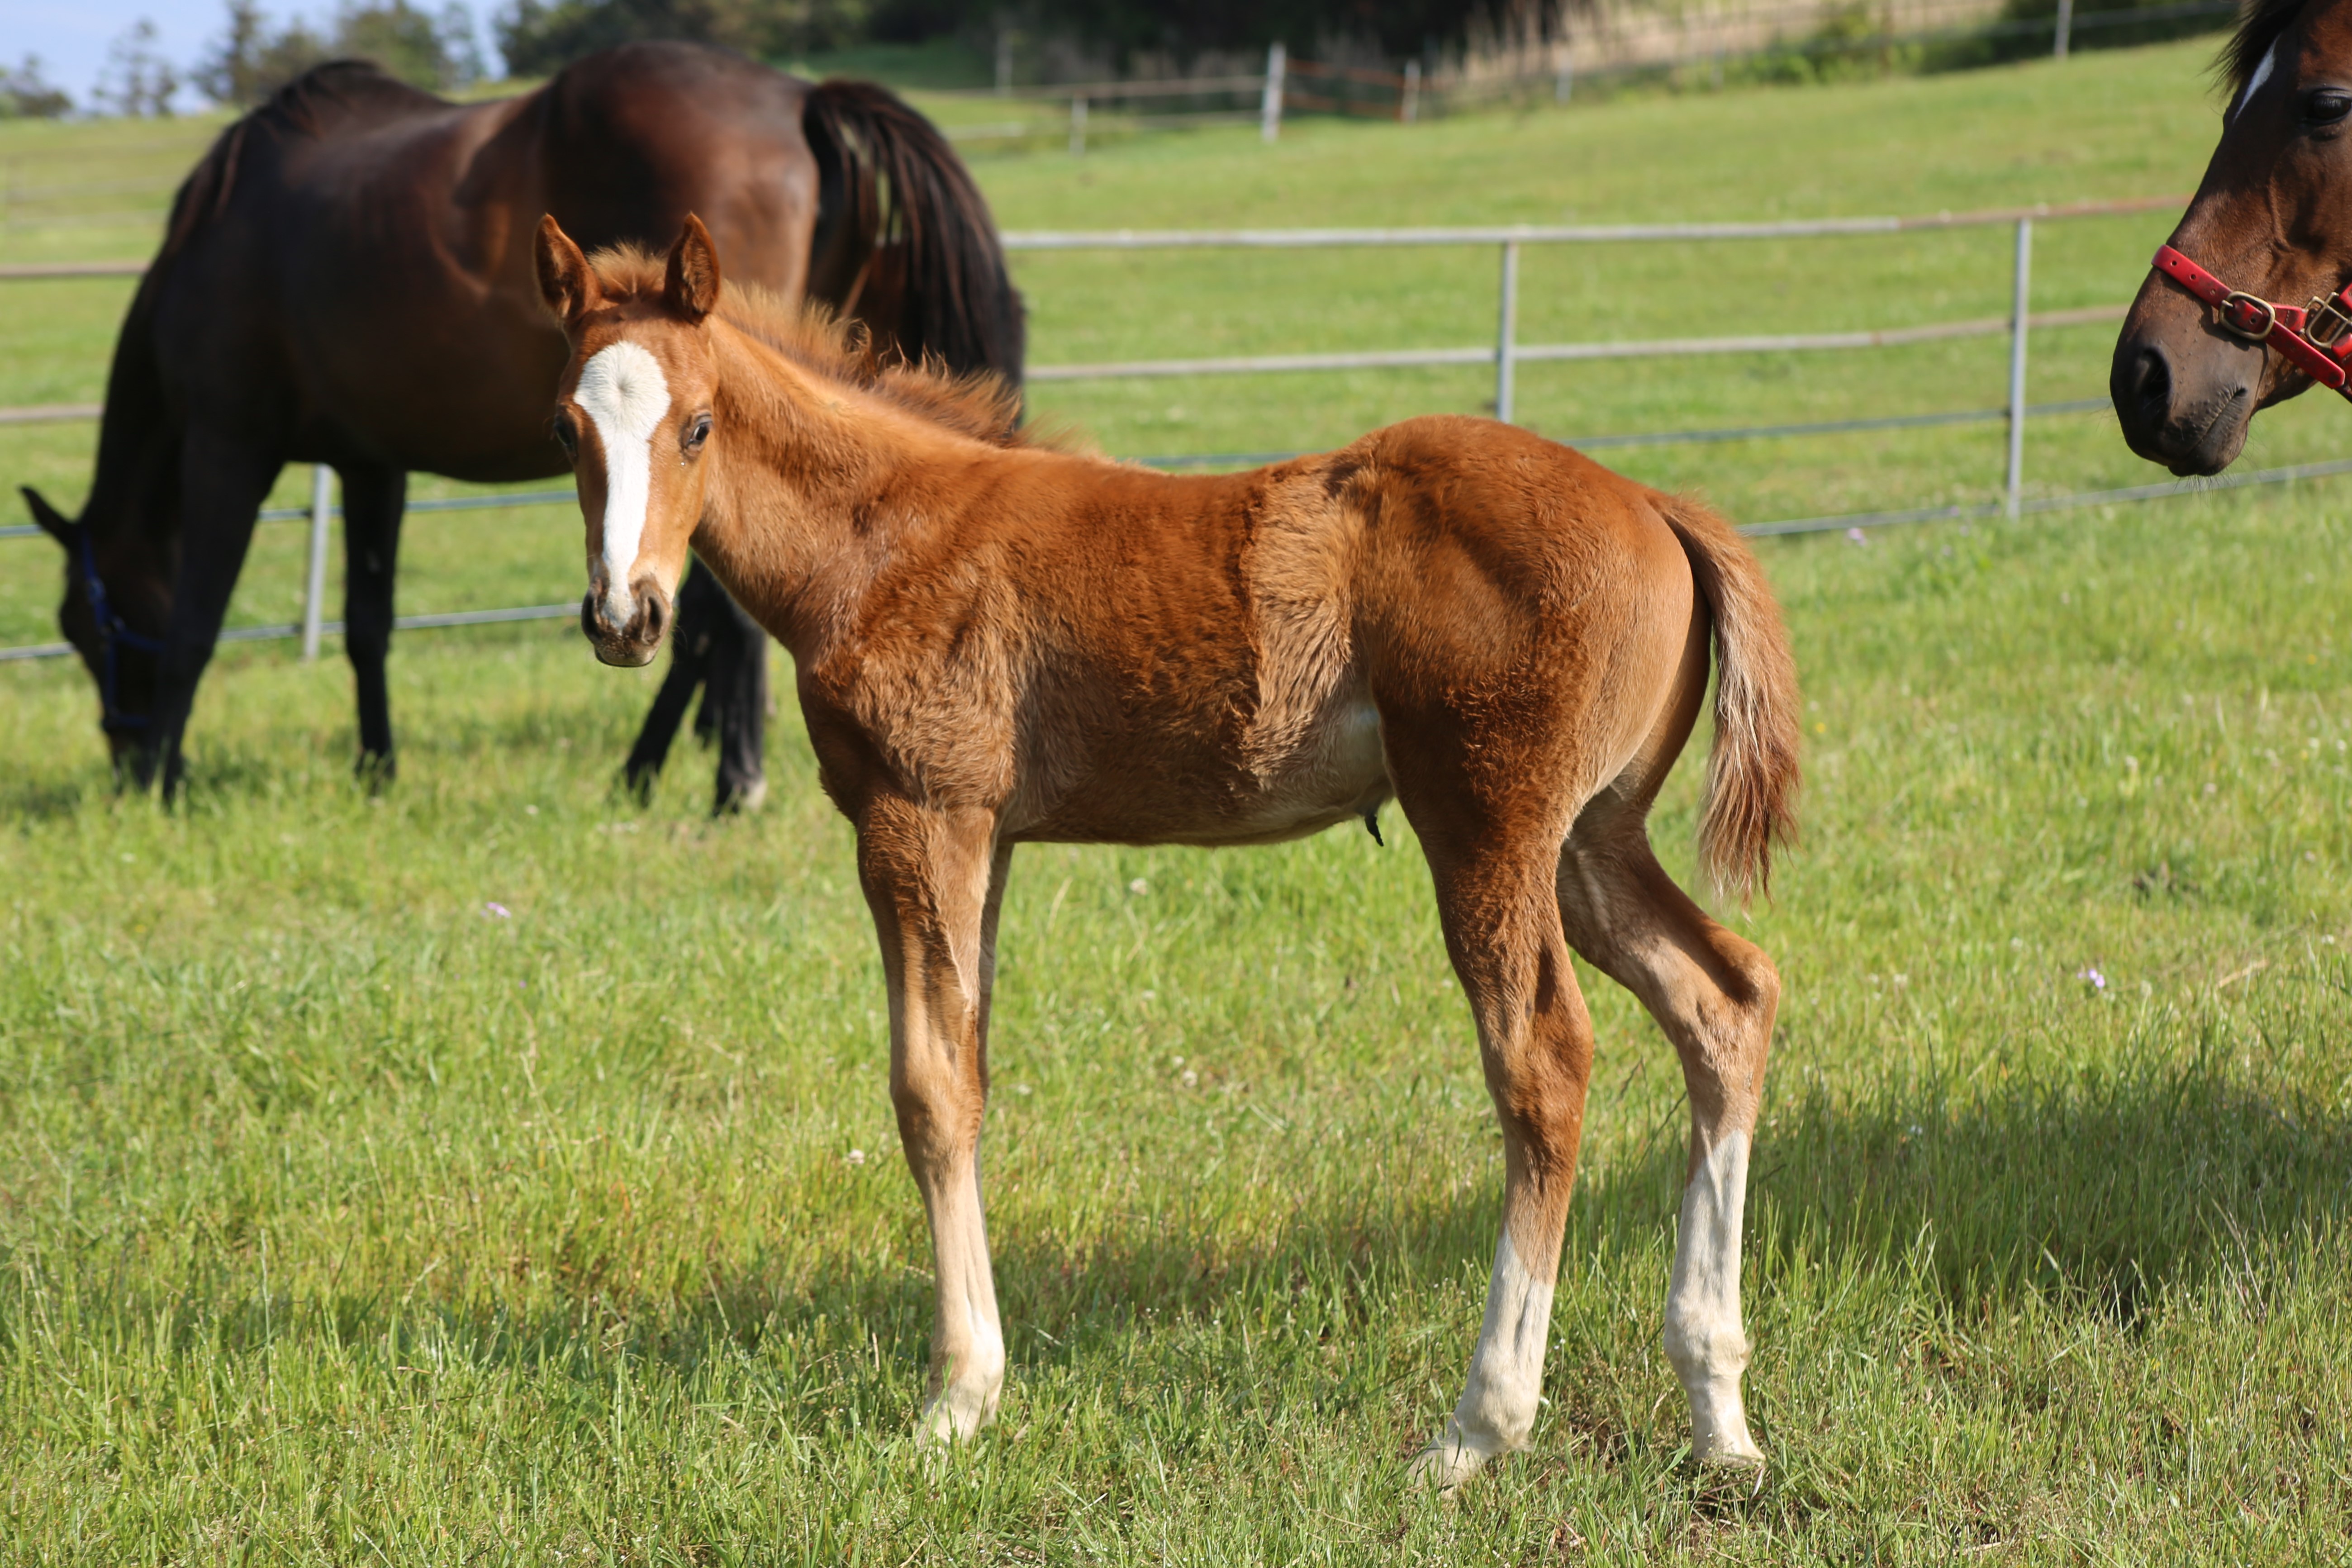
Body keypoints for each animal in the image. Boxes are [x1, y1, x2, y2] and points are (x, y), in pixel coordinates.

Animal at [541, 215, 1806, 1495]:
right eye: (565, 428)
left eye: (698, 424)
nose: (625, 618)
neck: (884, 537)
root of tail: (1650, 500)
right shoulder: (987, 834)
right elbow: (972, 1071)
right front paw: (979, 1379)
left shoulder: (917, 815)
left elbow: (928, 1090)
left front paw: (955, 1398)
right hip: (1591, 838)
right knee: (1725, 999)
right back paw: (1719, 1411)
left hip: (1486, 825)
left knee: (1542, 1060)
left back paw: (1478, 1427)